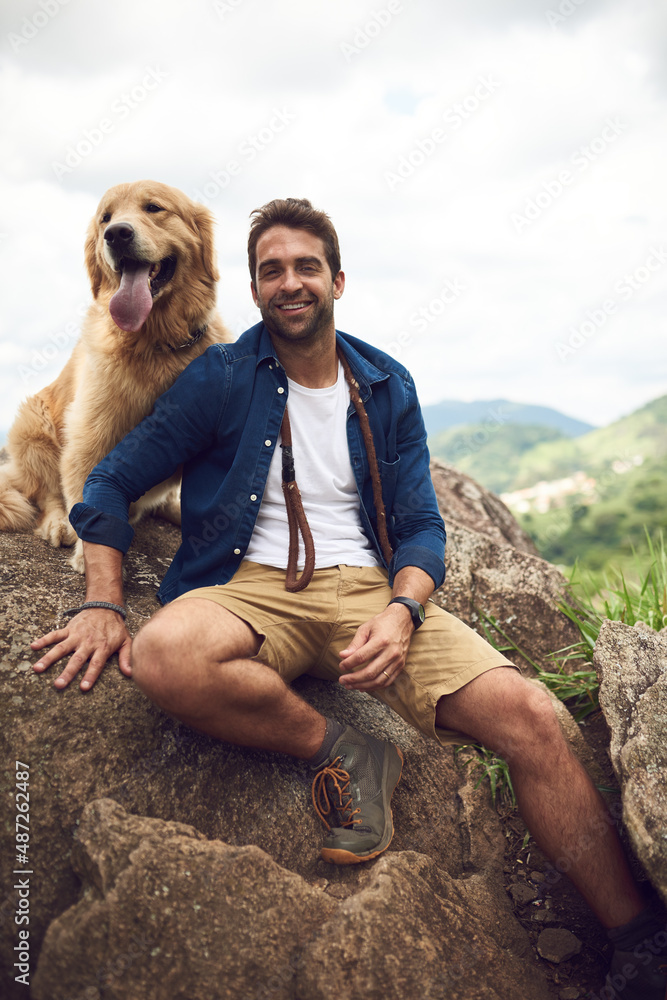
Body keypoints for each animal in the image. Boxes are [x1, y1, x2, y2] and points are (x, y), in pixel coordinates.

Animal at [0, 180, 232, 572]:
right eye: (105, 218)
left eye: (154, 207)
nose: (117, 234)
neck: (156, 343)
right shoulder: (91, 433)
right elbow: (84, 488)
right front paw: (89, 555)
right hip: (33, 428)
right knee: (46, 492)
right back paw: (59, 524)